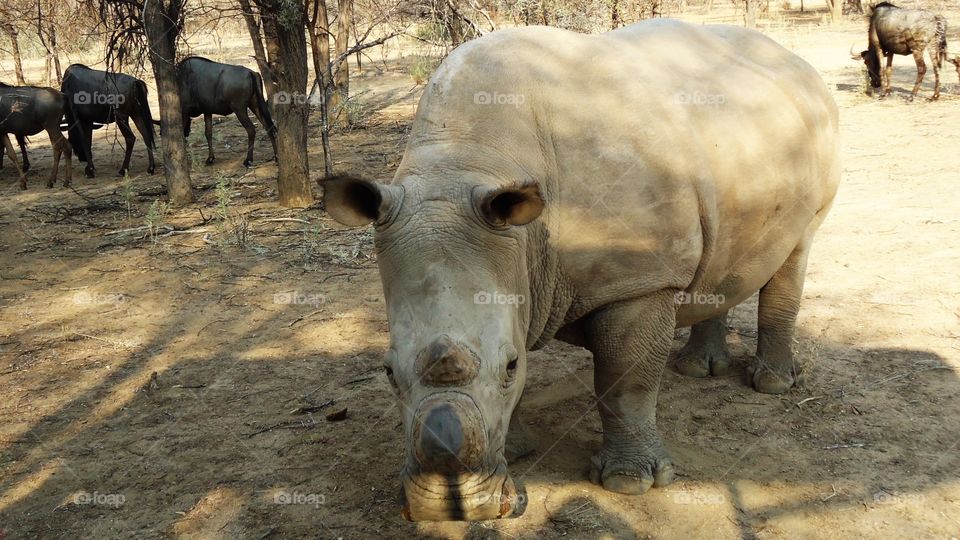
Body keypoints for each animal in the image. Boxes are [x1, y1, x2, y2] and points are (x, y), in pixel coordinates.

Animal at [323, 19, 839, 521]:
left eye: (509, 365)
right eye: (387, 372)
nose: (450, 509)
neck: (468, 162)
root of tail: (793, 58)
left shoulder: (635, 281)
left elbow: (625, 378)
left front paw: (630, 483)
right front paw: (519, 451)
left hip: (816, 132)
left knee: (798, 250)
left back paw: (772, 385)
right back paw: (697, 370)